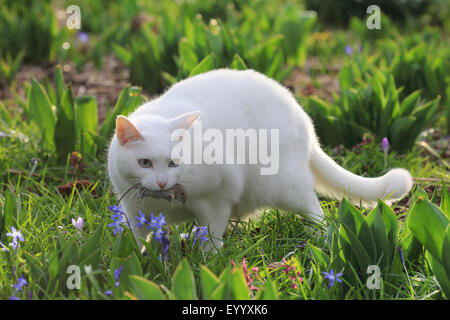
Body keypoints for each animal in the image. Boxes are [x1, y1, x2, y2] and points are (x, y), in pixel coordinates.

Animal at [107, 69, 414, 250]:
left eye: (174, 163)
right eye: (145, 163)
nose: (161, 182)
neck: (163, 200)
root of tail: (304, 118)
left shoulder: (217, 198)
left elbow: (213, 234)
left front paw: (207, 261)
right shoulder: (133, 210)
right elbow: (138, 240)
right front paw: (138, 260)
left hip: (282, 185)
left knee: (314, 207)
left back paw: (319, 236)